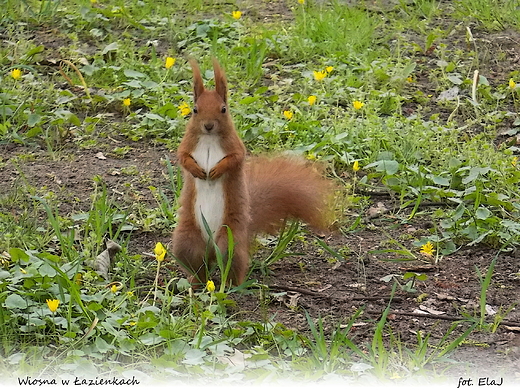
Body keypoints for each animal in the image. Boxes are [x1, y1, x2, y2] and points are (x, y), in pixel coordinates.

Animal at [171, 59, 334, 288]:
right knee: (197, 267)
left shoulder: (236, 147)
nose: (208, 125)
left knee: (232, 265)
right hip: (187, 241)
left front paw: (216, 170)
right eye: (195, 109)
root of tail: (211, 250)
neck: (209, 139)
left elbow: (235, 159)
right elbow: (183, 157)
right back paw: (196, 285)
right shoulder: (187, 144)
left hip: (230, 240)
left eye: (223, 109)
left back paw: (231, 286)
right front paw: (197, 170)